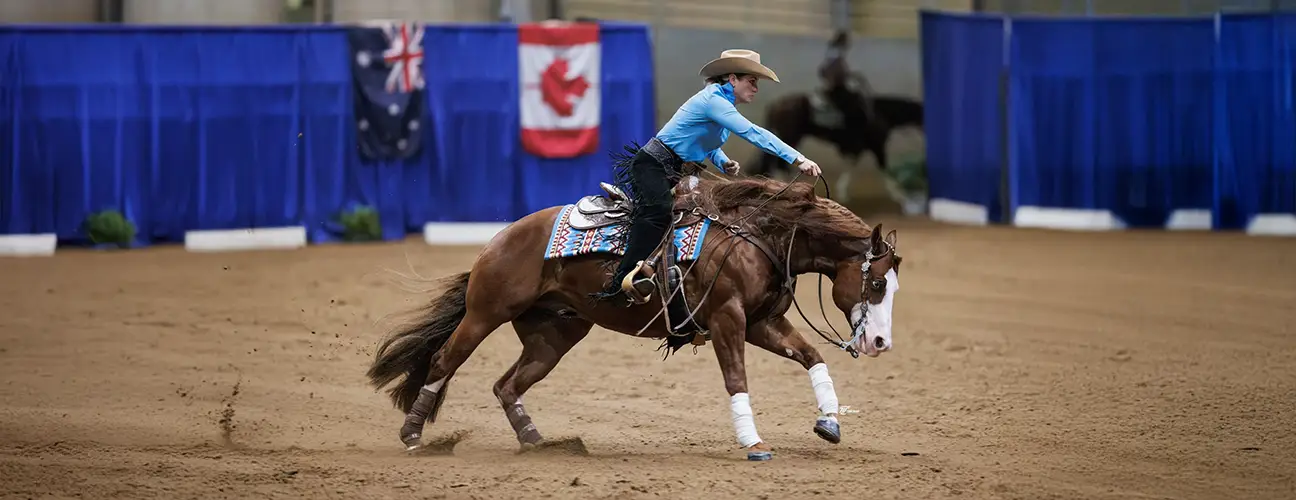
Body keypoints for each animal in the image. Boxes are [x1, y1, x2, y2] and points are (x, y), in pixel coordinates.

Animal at [364, 174, 903, 461]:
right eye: (876, 284)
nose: (879, 343)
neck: (757, 236)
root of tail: (497, 240)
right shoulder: (728, 320)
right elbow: (737, 380)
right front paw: (753, 442)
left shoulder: (760, 324)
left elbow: (812, 357)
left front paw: (829, 422)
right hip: (485, 313)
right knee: (443, 363)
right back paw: (413, 436)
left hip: (554, 334)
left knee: (507, 384)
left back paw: (536, 441)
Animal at [749, 92, 925, 202]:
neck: (880, 113)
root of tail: (775, 105)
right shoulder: (877, 145)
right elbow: (883, 168)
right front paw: (899, 194)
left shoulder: (858, 148)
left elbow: (851, 166)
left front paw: (843, 191)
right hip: (790, 136)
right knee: (779, 163)